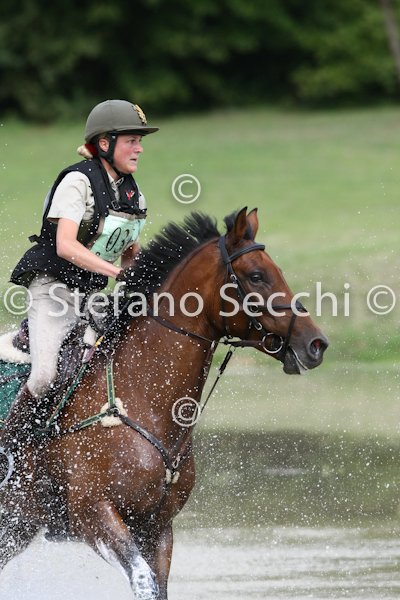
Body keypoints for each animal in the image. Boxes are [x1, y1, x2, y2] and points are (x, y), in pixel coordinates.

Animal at [0, 207, 328, 599]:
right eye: (256, 276)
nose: (316, 344)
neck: (143, 398)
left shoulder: (157, 528)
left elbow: (158, 587)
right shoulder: (93, 514)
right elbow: (143, 581)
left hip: (17, 527)